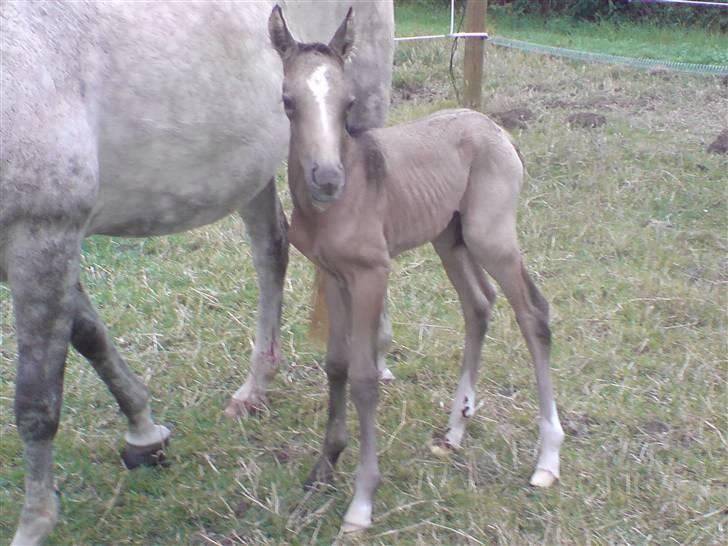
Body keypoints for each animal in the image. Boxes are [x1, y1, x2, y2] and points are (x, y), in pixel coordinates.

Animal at [0, 2, 392, 540]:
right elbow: (90, 335)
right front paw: (144, 432)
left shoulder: (42, 234)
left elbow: (37, 400)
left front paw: (34, 524)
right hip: (255, 166)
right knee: (271, 249)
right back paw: (254, 390)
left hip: (362, 121)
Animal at [270, 5, 564, 532]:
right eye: (288, 101)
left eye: (348, 103)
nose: (328, 179)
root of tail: (496, 130)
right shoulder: (335, 275)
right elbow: (336, 365)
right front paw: (324, 466)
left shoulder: (371, 273)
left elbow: (365, 377)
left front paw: (361, 503)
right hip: (450, 237)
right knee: (479, 304)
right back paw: (455, 429)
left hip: (490, 235)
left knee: (533, 312)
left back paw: (547, 458)